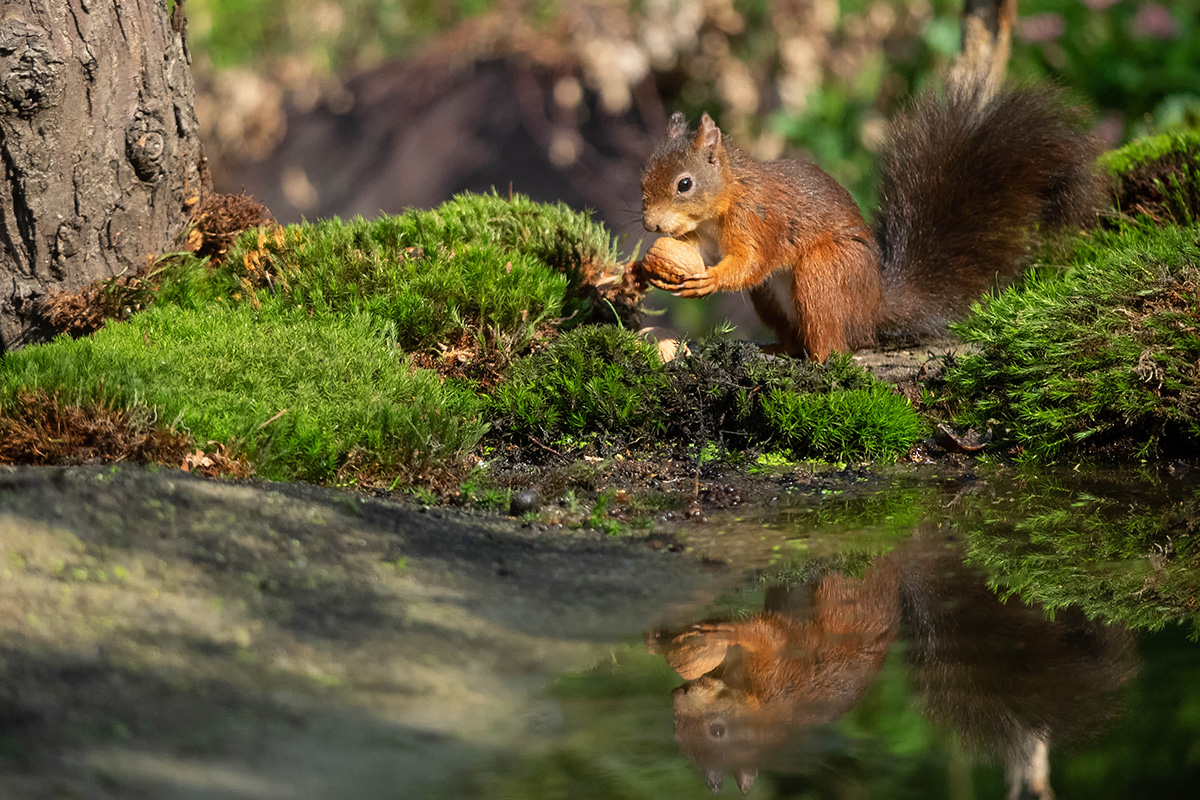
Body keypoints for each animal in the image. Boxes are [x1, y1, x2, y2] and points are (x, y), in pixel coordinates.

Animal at [638, 77, 1104, 359]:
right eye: (645, 175)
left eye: (684, 184)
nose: (650, 225)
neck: (722, 202)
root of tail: (873, 307)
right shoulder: (701, 235)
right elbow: (693, 251)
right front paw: (650, 268)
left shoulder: (758, 220)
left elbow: (750, 262)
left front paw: (710, 280)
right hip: (772, 297)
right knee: (797, 336)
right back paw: (778, 350)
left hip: (826, 272)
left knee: (832, 344)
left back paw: (817, 360)